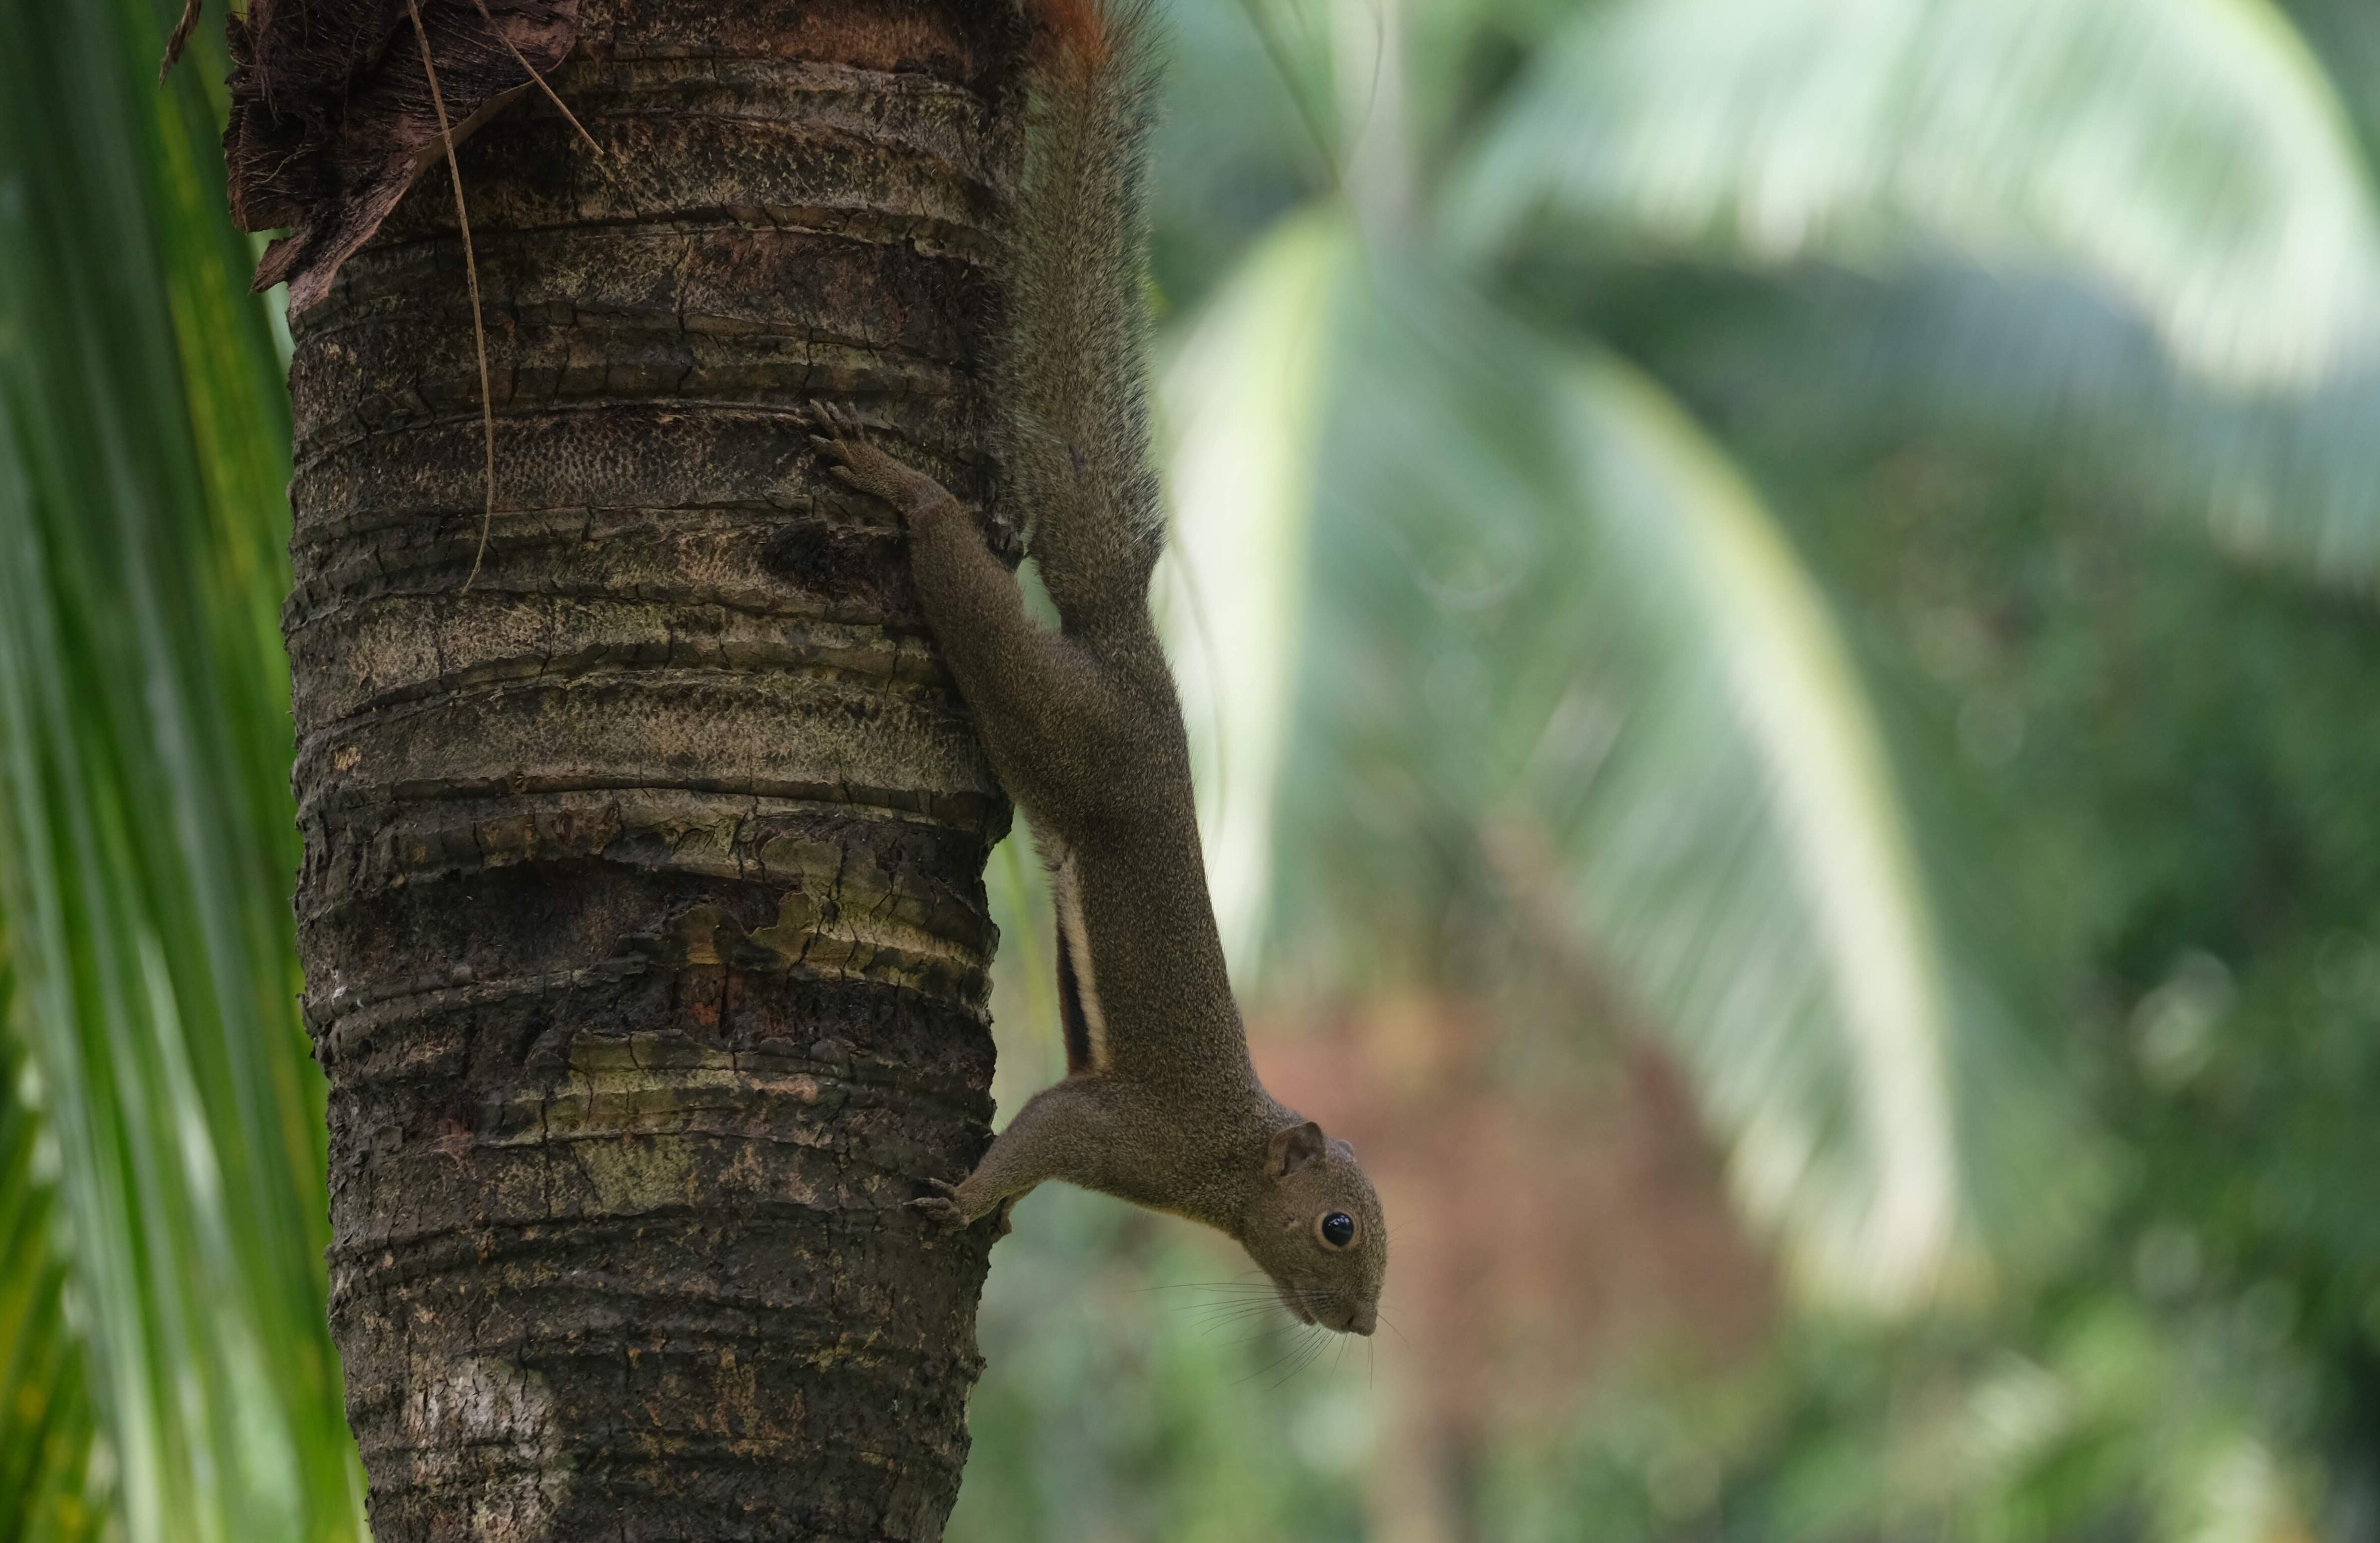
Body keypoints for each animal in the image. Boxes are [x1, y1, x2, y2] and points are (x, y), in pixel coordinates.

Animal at [814, 0, 1389, 1333]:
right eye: (1338, 1227)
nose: (1362, 1322)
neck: (1230, 1163)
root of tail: (1135, 651)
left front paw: (986, 1206)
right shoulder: (1125, 1129)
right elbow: (1044, 1128)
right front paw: (971, 1201)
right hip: (1070, 728)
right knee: (973, 601)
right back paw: (910, 492)